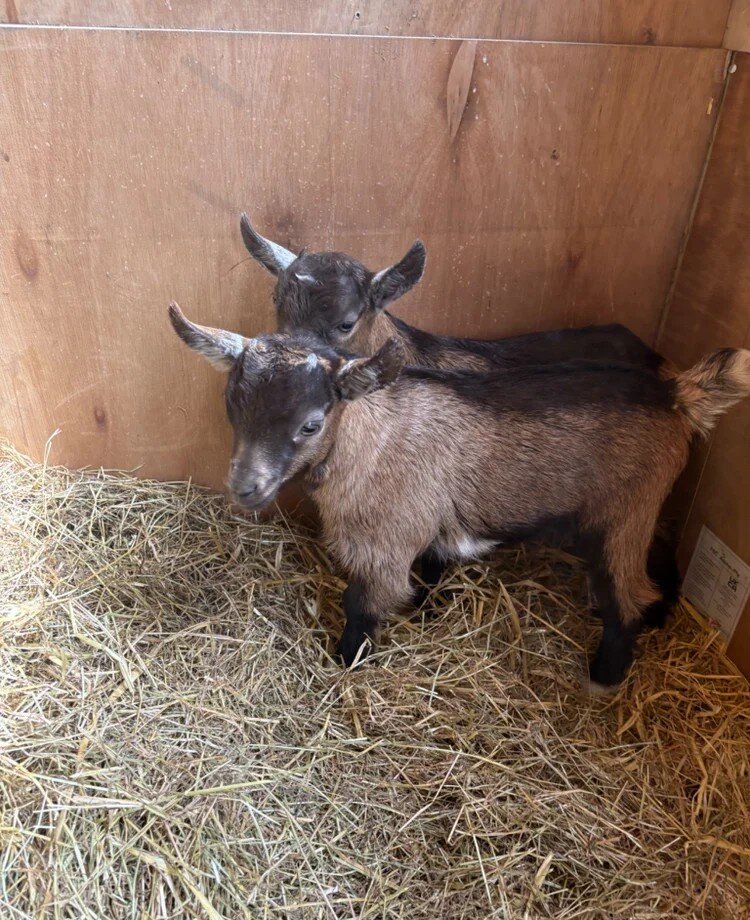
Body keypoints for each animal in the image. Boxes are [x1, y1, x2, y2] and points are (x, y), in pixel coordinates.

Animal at [168, 302, 750, 688]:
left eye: (310, 424)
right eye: (232, 406)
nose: (245, 487)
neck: (369, 439)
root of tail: (677, 394)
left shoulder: (385, 543)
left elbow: (363, 603)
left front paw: (347, 660)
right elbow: (431, 568)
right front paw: (425, 611)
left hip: (624, 512)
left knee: (627, 595)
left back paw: (603, 678)